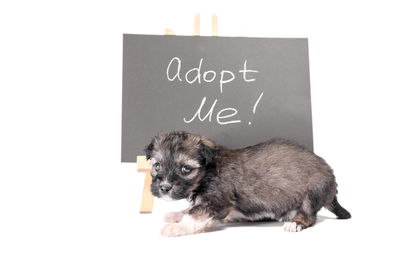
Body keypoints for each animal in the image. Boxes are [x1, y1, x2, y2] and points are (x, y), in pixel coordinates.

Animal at [145, 131, 350, 237]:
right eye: (157, 165)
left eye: (186, 169)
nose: (164, 188)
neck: (207, 172)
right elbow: (192, 209)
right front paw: (175, 215)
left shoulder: (217, 202)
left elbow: (195, 214)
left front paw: (177, 227)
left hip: (314, 188)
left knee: (309, 214)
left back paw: (295, 223)